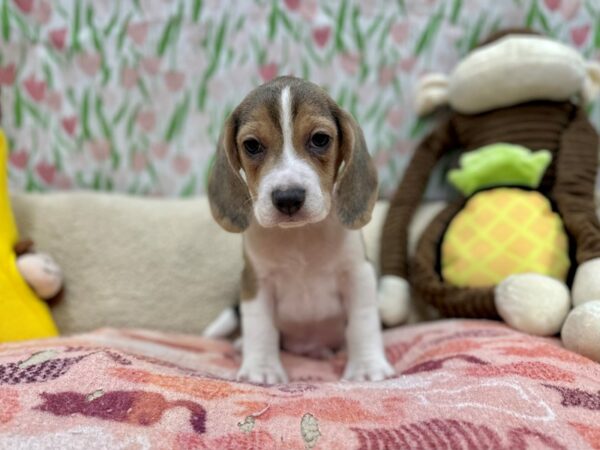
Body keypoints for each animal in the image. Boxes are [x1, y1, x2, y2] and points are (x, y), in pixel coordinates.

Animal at [206, 74, 394, 384]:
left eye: (320, 139)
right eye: (252, 145)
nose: (288, 198)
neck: (299, 234)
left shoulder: (358, 274)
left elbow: (363, 321)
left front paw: (367, 367)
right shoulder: (257, 280)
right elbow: (260, 326)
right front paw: (262, 369)